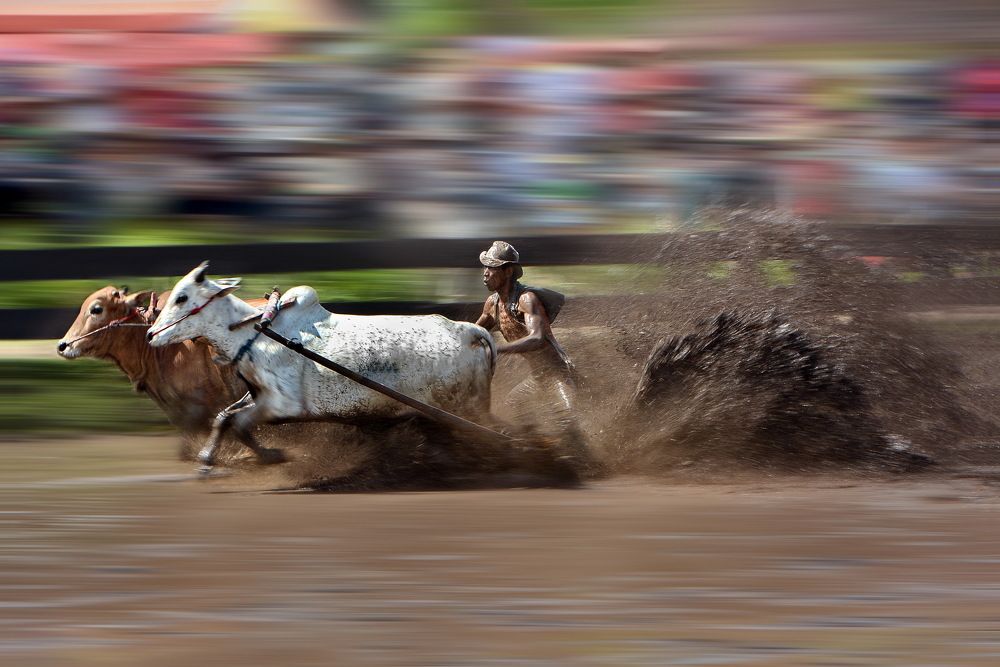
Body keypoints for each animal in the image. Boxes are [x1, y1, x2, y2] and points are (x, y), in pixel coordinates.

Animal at [147, 261, 497, 469]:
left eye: (181, 297)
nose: (150, 334)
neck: (256, 333)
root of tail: (467, 331)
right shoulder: (256, 396)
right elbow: (223, 418)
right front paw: (208, 458)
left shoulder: (281, 404)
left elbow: (240, 424)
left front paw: (272, 455)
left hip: (460, 406)